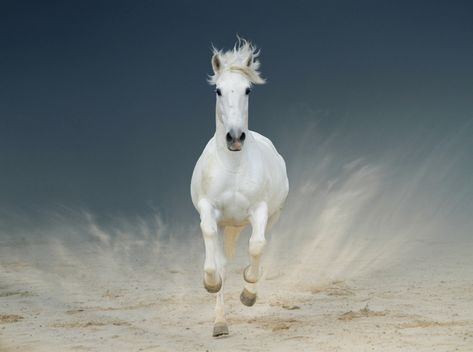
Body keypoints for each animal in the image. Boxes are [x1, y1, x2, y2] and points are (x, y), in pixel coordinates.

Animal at [189, 37, 288, 336]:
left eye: (247, 90)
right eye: (218, 90)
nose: (234, 137)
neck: (233, 166)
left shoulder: (260, 210)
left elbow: (256, 246)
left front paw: (248, 294)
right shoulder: (208, 210)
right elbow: (215, 263)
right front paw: (211, 283)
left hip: (270, 217)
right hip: (226, 224)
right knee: (221, 259)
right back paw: (220, 324)